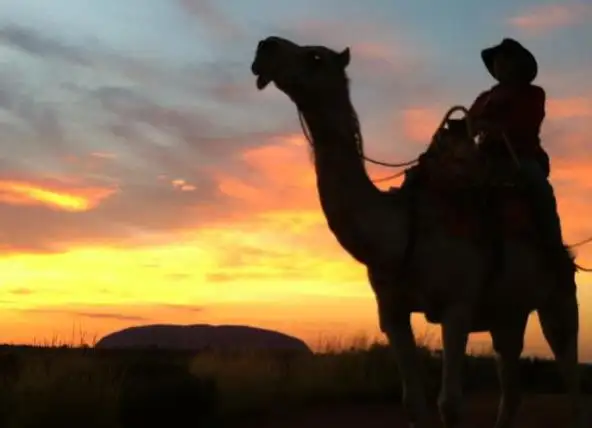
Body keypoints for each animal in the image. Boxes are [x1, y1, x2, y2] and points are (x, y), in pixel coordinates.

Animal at [251, 37, 588, 428]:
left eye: (316, 56)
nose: (265, 47)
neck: (401, 230)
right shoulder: (392, 311)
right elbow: (412, 402)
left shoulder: (457, 306)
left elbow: (450, 404)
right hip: (508, 313)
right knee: (512, 388)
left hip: (558, 298)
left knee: (571, 376)